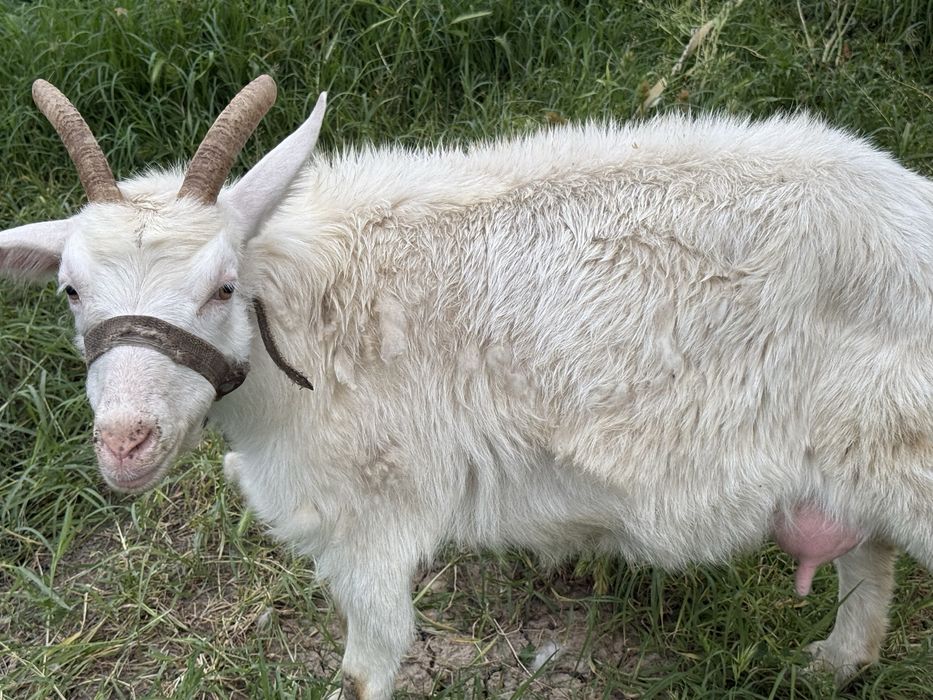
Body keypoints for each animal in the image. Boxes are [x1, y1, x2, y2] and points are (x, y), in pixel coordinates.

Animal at [2, 76, 933, 698]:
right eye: (71, 290)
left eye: (223, 286)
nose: (126, 443)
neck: (308, 316)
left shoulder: (368, 514)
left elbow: (366, 666)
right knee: (867, 548)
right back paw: (834, 662)